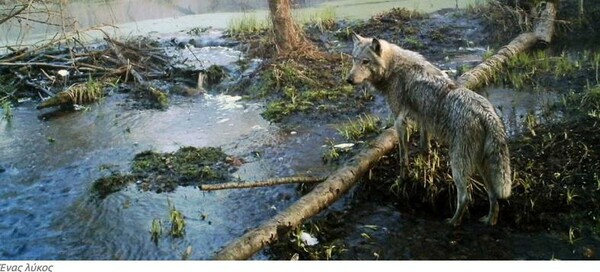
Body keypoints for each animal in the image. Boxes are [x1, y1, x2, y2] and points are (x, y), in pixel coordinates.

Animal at [346, 33, 510, 225]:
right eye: (354, 59)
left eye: (365, 62)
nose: (349, 80)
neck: (393, 67)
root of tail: (487, 114)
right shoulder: (423, 120)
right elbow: (425, 147)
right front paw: (425, 168)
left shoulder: (400, 122)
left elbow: (403, 157)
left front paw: (402, 180)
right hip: (481, 166)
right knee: (493, 196)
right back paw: (489, 220)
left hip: (458, 165)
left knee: (465, 197)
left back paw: (452, 222)